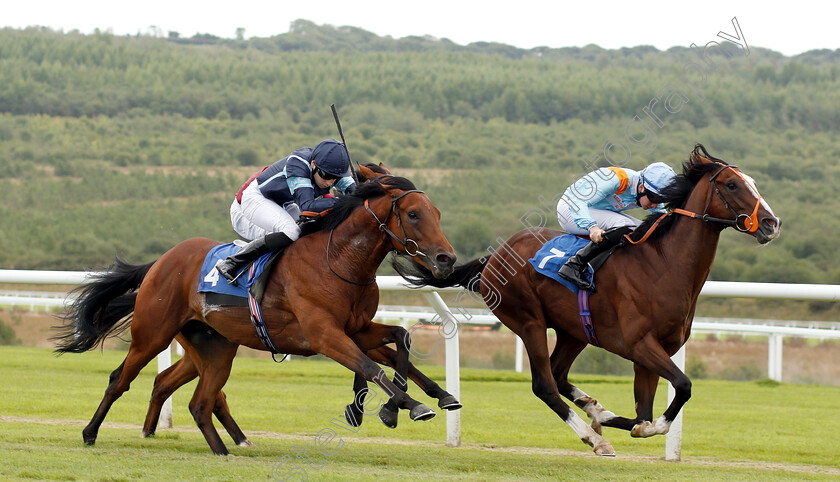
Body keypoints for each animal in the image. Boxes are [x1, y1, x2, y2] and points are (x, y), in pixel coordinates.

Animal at [394, 144, 780, 456]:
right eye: (732, 184)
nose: (771, 223)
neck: (663, 266)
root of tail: (494, 258)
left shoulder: (655, 352)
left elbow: (644, 411)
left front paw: (623, 420)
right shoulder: (639, 345)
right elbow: (679, 390)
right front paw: (637, 428)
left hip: (574, 331)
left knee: (559, 374)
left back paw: (597, 412)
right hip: (529, 321)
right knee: (545, 384)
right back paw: (594, 437)